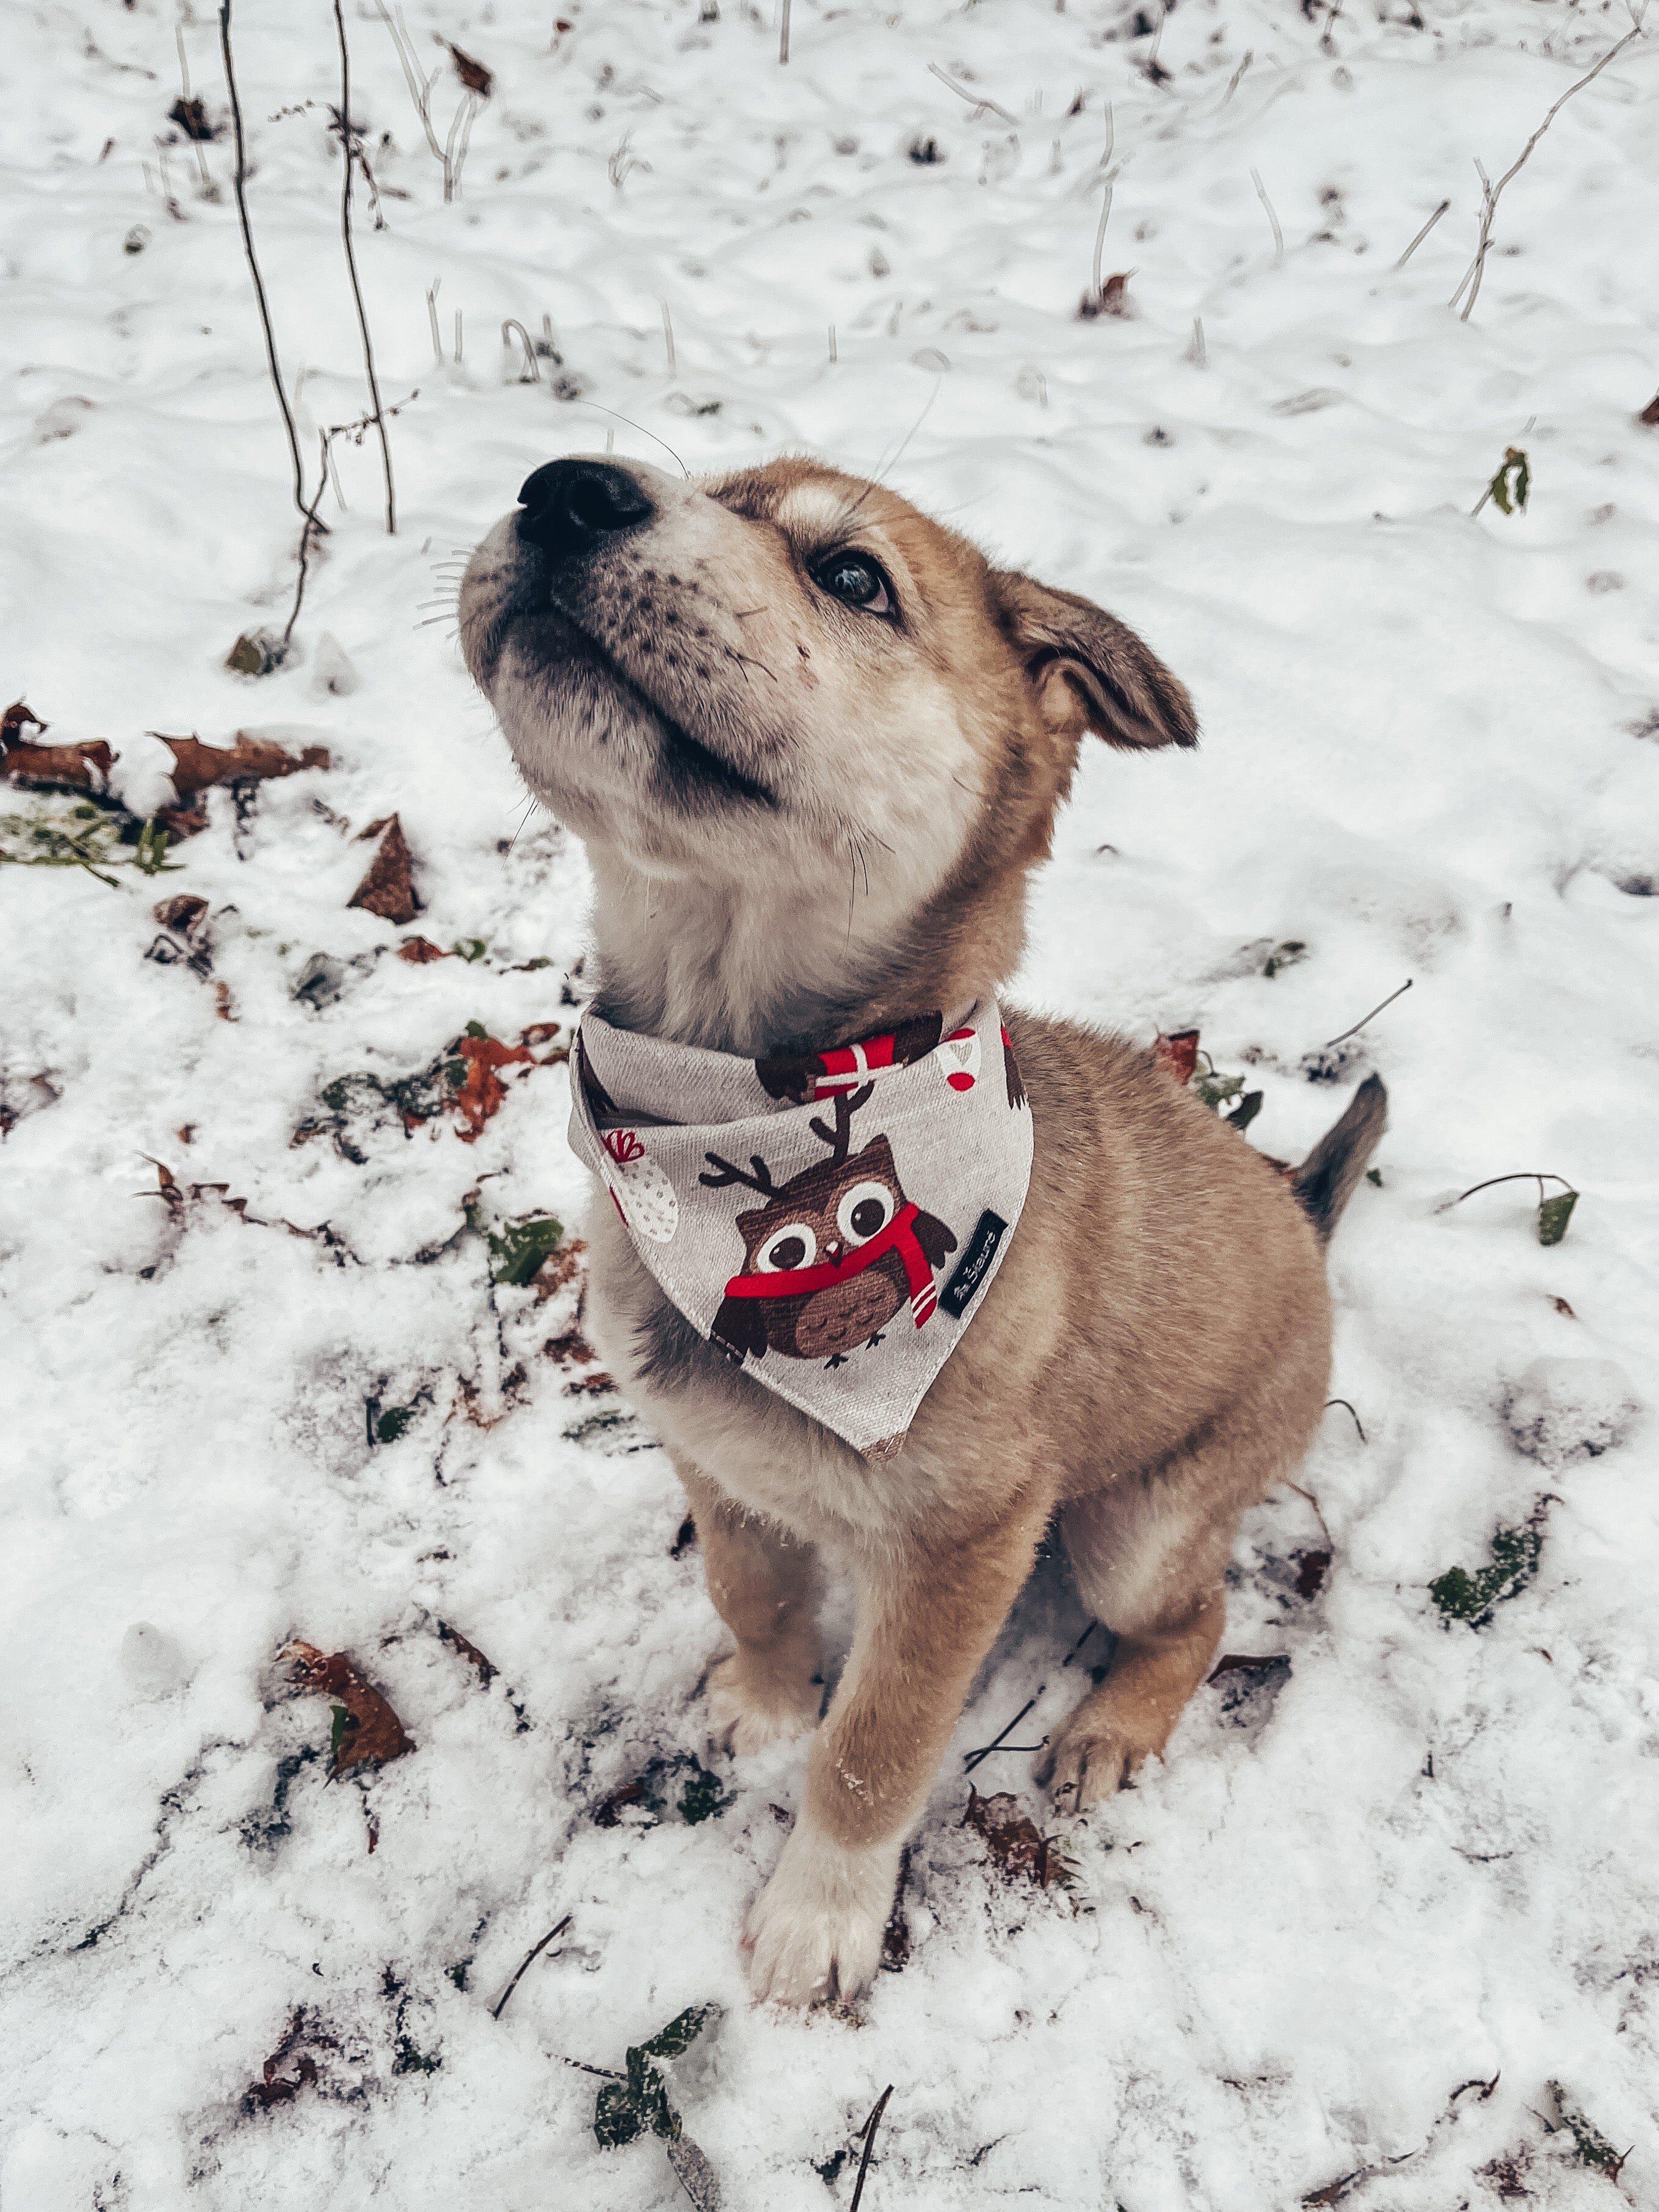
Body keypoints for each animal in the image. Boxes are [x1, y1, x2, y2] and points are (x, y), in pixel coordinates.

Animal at [462, 458, 1380, 2017]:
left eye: (850, 577)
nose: (567, 488)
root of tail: (1302, 1218)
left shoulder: (963, 1550)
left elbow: (874, 1751)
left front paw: (817, 1917)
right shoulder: (717, 1458)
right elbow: (750, 1594)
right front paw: (761, 1704)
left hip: (1132, 1526)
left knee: (1193, 1618)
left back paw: (1111, 1726)